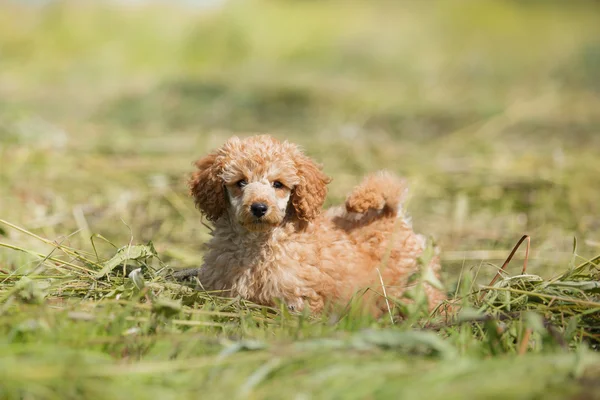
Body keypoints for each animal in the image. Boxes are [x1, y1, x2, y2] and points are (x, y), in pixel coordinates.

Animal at [176, 136, 442, 318]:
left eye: (278, 184)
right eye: (240, 182)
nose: (259, 208)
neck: (256, 243)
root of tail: (390, 213)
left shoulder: (298, 296)